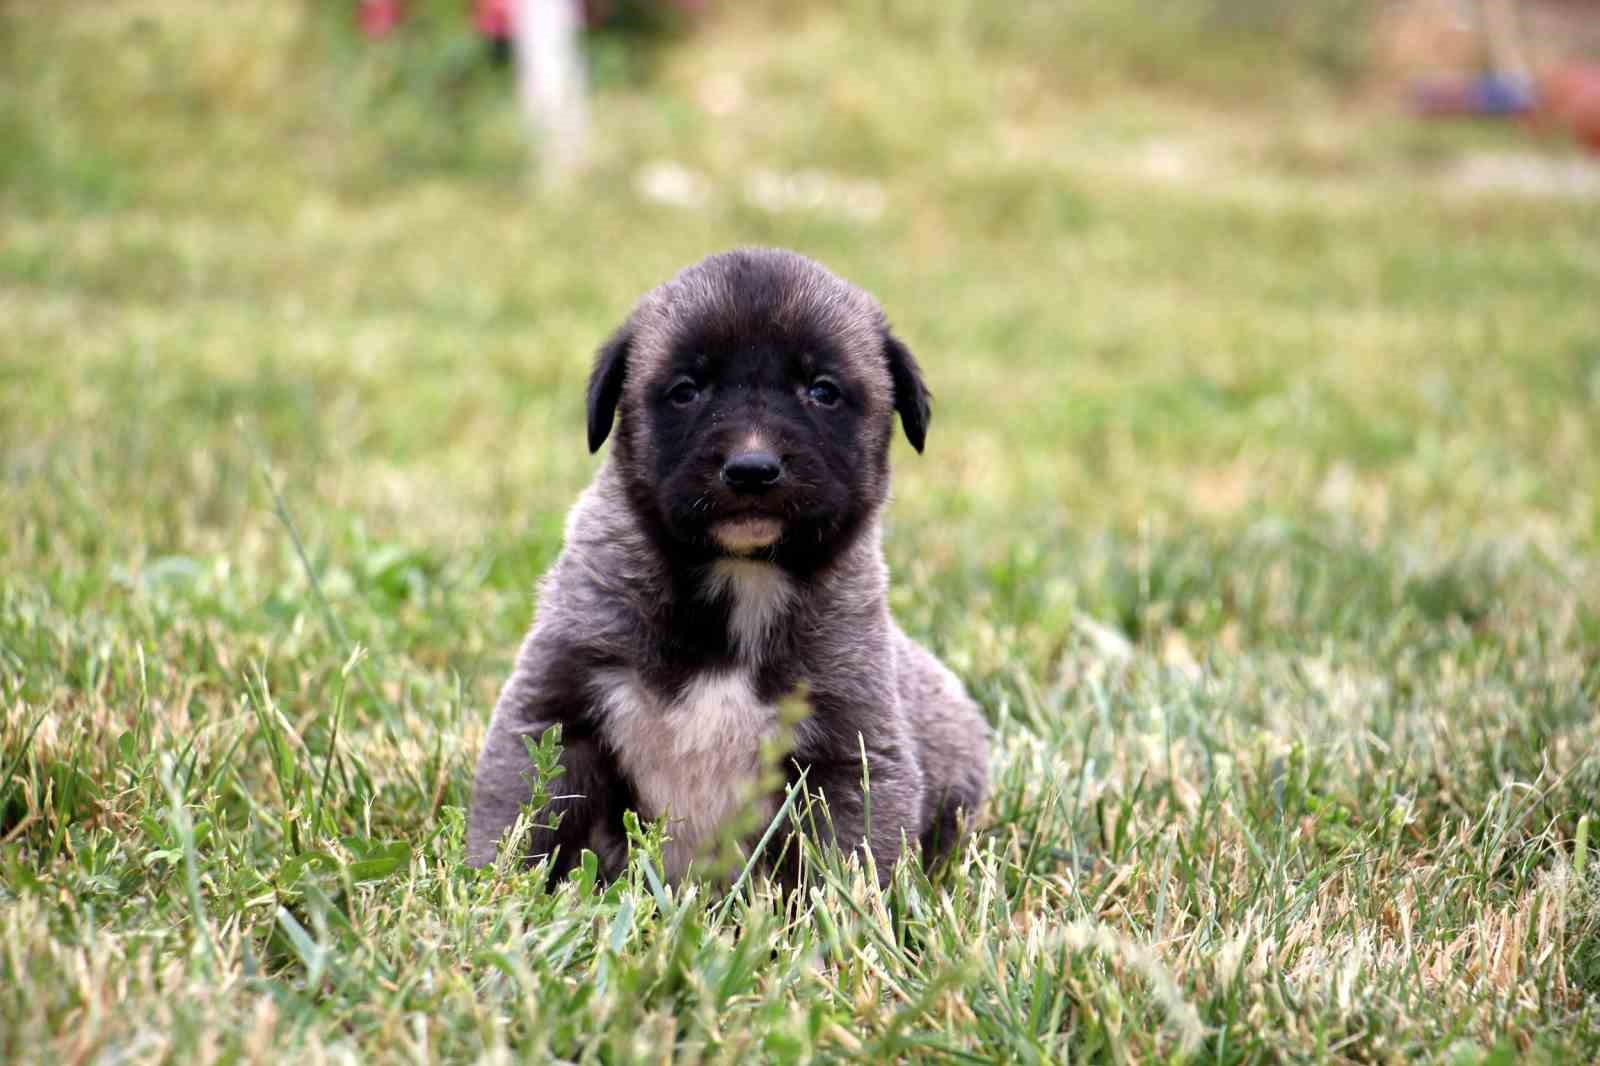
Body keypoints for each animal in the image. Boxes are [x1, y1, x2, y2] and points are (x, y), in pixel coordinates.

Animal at [467, 246, 985, 877]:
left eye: (823, 391)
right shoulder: (555, 715)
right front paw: (489, 888)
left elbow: (845, 859)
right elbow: (517, 823)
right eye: (686, 390)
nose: (752, 469)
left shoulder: (851, 753)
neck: (741, 577)